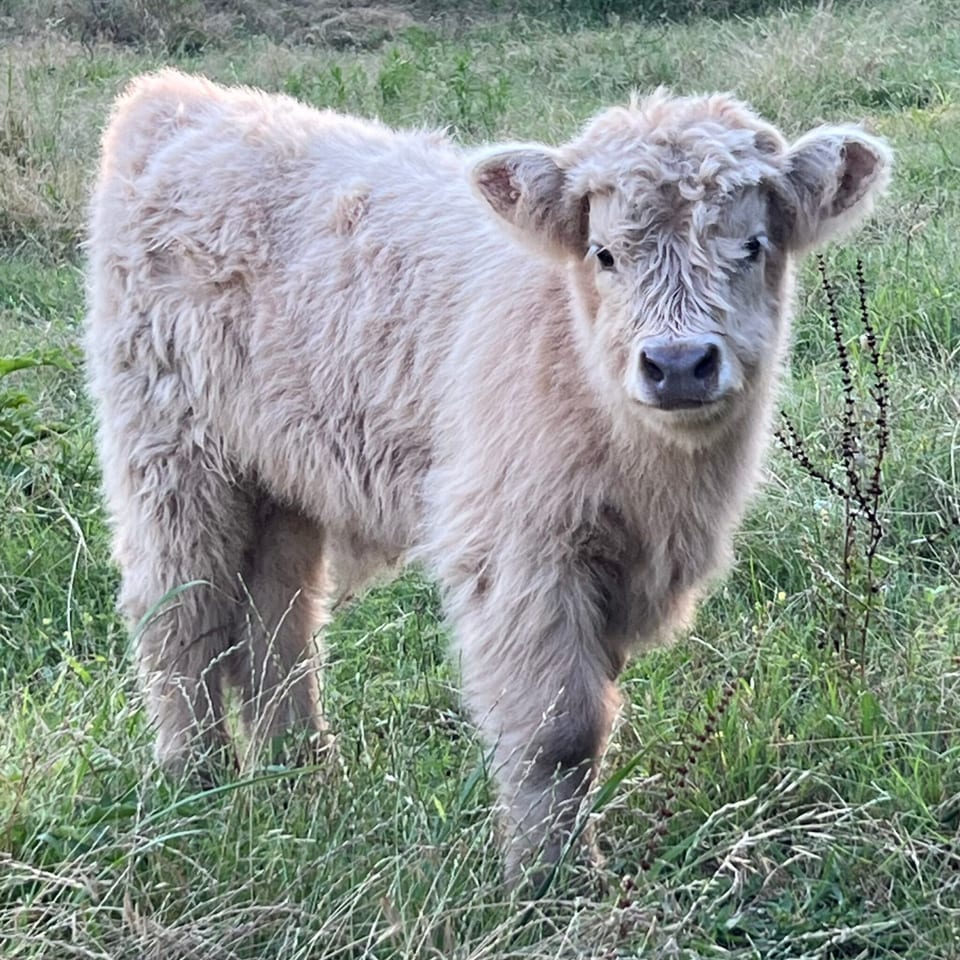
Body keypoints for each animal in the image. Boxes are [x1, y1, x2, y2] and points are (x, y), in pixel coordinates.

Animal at [85, 69, 890, 884]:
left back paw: (299, 779)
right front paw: (552, 881)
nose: (677, 364)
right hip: (169, 453)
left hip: (281, 474)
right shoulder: (519, 552)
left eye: (753, 245)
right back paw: (197, 786)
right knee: (180, 615)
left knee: (275, 622)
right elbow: (559, 731)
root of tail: (175, 97)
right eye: (603, 253)